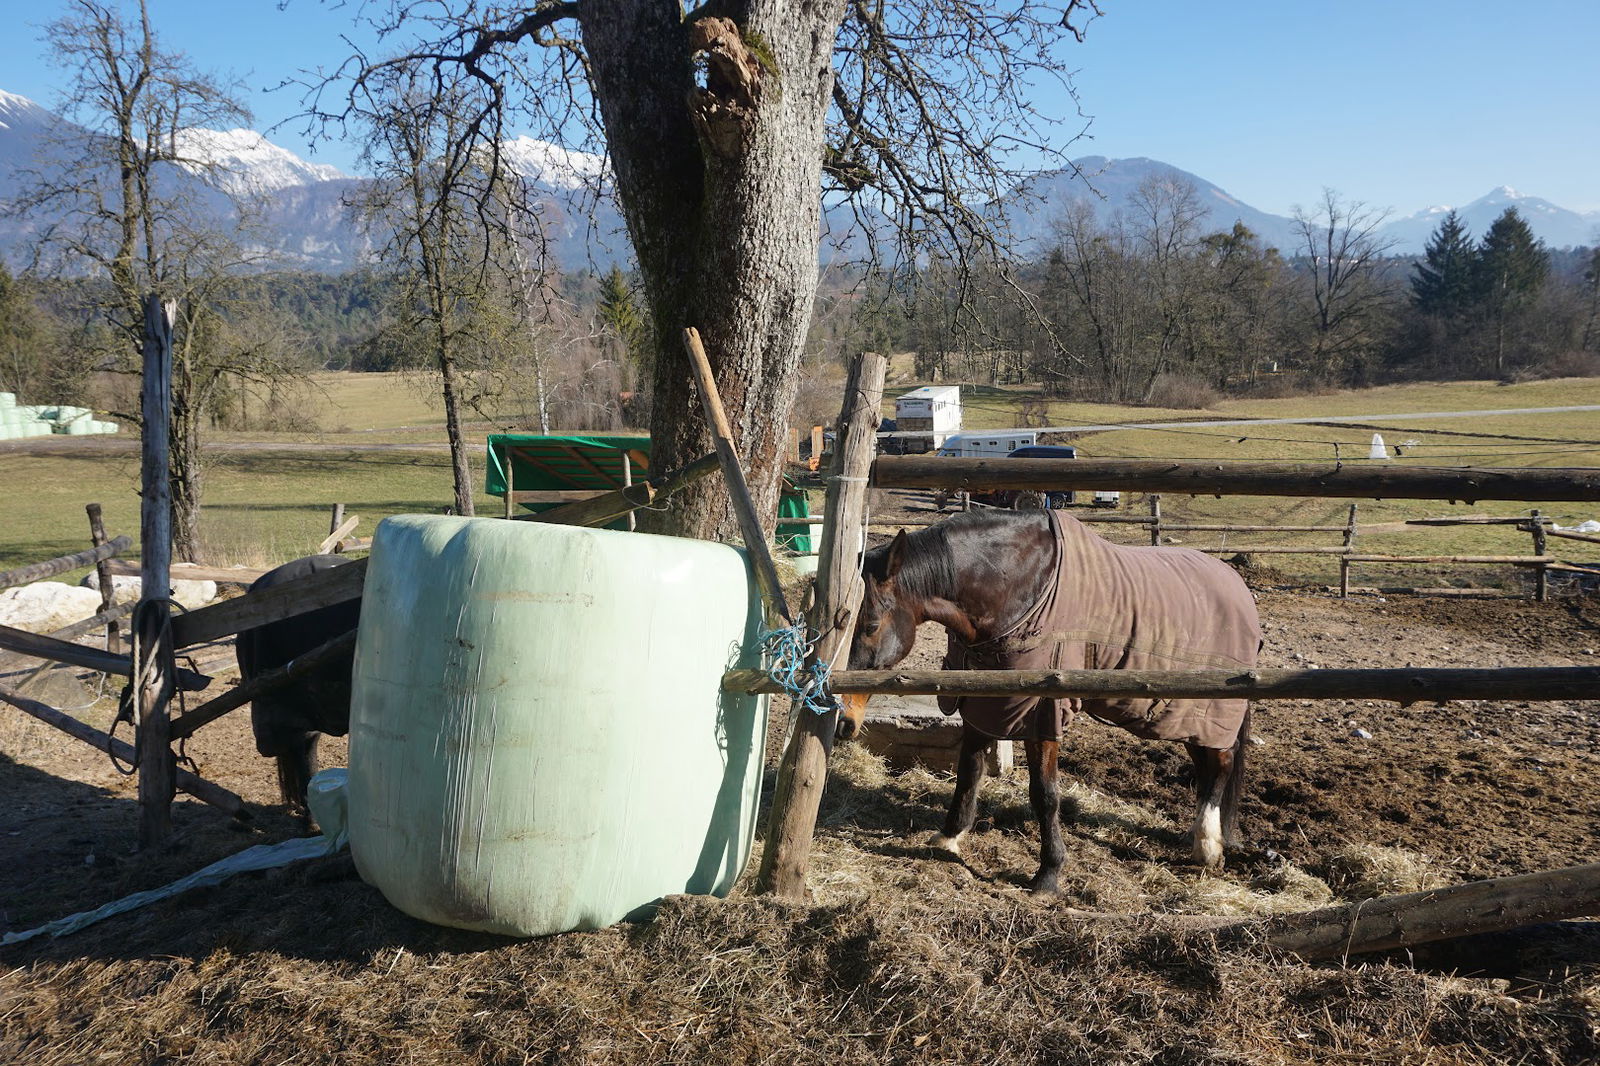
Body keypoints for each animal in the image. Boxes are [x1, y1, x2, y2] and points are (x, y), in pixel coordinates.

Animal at [838, 512, 1260, 889]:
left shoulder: (1042, 713)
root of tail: (1240, 589)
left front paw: (1049, 872)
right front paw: (950, 836)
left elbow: (1044, 793)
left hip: (1208, 709)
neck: (1015, 592)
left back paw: (1207, 846)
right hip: (1185, 717)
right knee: (1208, 766)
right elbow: (969, 770)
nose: (844, 720)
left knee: (1221, 764)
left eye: (871, 625)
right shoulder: (983, 702)